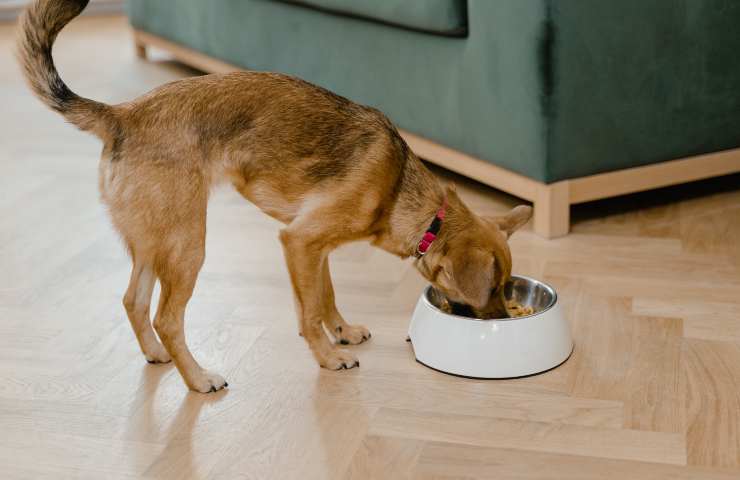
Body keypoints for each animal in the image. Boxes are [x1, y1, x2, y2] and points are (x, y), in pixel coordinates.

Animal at [18, 0, 532, 392]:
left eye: (507, 288)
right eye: (492, 288)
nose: (500, 319)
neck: (403, 193)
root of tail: (121, 114)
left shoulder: (314, 248)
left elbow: (325, 296)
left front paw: (343, 332)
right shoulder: (300, 241)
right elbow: (309, 312)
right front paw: (328, 357)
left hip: (152, 241)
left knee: (133, 301)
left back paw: (156, 355)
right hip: (188, 245)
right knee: (167, 317)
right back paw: (199, 379)